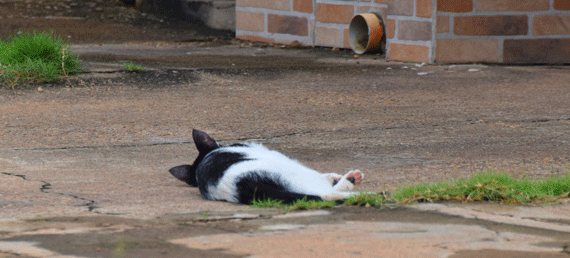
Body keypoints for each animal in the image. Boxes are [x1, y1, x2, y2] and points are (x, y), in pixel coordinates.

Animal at [169, 130, 364, 205]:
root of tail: (246, 186)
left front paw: (334, 177)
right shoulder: (276, 155)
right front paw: (335, 177)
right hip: (289, 170)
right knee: (326, 194)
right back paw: (351, 180)